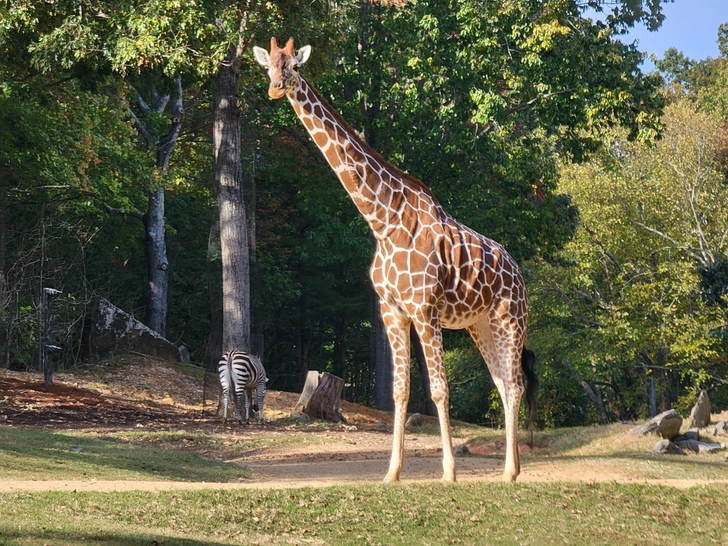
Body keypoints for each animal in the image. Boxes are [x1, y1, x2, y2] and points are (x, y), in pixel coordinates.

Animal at [255, 37, 536, 480]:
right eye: (269, 67)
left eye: (295, 67)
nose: (276, 88)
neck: (382, 220)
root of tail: (518, 272)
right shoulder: (392, 310)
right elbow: (401, 390)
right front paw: (392, 473)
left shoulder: (424, 309)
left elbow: (438, 390)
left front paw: (449, 473)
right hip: (479, 325)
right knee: (504, 384)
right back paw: (513, 470)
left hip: (510, 319)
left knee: (515, 382)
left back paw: (510, 472)